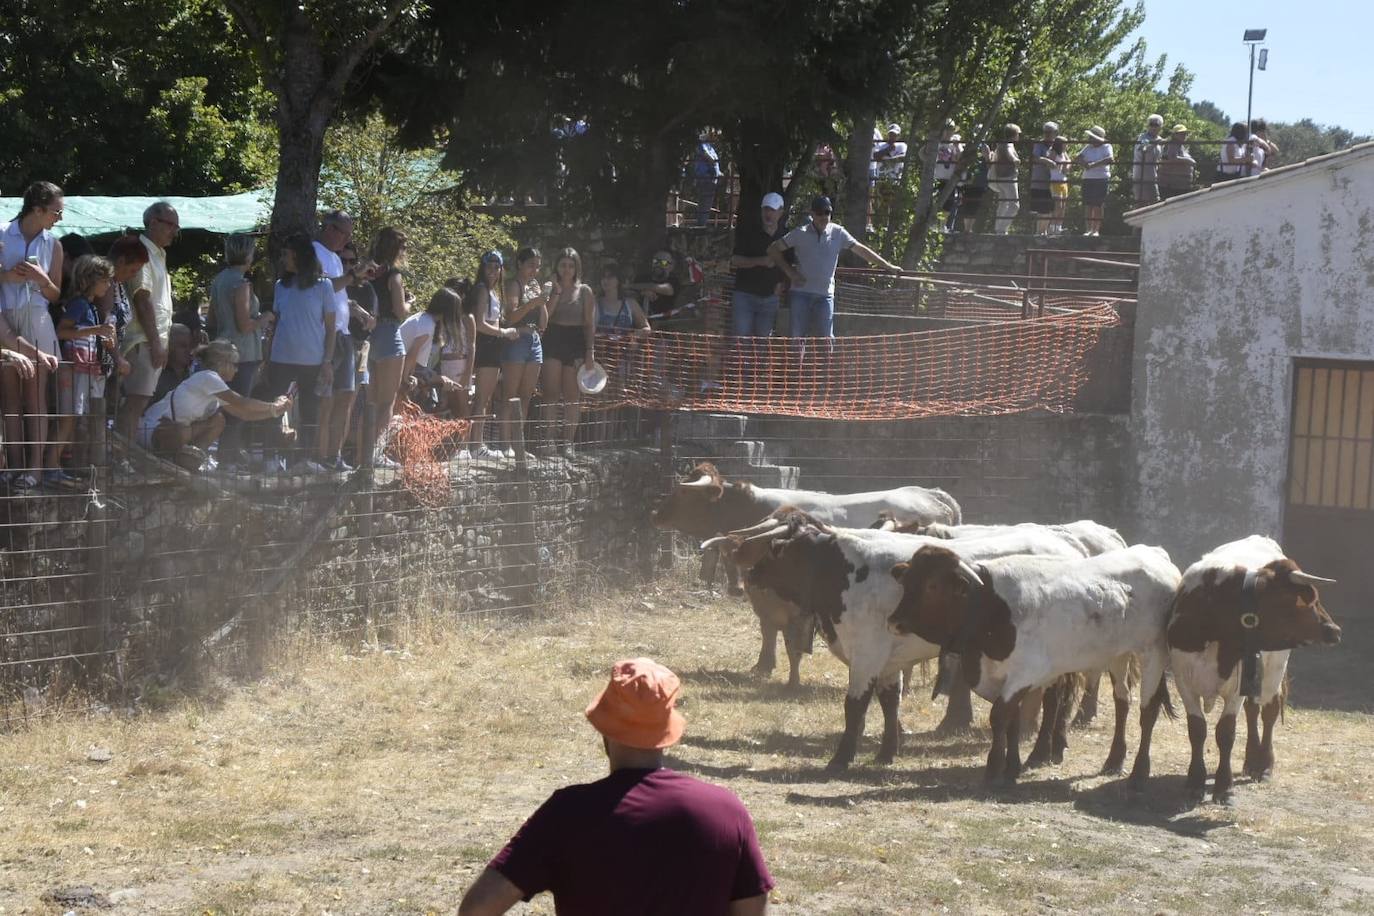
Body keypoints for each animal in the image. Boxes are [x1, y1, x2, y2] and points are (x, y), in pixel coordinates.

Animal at [651, 466, 956, 686]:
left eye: (683, 493)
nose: (656, 514)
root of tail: (933, 494)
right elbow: (767, 628)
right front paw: (763, 665)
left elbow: (781, 634)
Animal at [708, 513, 1082, 769]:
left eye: (774, 550)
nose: (752, 573)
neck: (844, 572)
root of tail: (1066, 545)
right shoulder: (889, 662)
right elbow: (890, 703)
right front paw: (887, 753)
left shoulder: (867, 656)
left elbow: (855, 707)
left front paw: (840, 760)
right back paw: (1054, 749)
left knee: (1054, 700)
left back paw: (1040, 753)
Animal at [890, 543, 1181, 791]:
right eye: (906, 581)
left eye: (932, 585)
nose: (894, 621)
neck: (990, 607)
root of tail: (1156, 556)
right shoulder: (1000, 678)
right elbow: (1013, 721)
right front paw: (1011, 768)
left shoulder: (1023, 674)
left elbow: (999, 716)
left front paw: (993, 770)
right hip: (1118, 655)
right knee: (1122, 702)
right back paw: (1114, 760)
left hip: (1152, 654)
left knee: (1148, 711)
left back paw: (1139, 773)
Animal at [1165, 532, 1346, 807]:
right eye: (1310, 600)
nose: (1334, 630)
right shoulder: (1184, 680)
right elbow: (1197, 730)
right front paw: (1195, 782)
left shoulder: (1236, 687)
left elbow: (1226, 732)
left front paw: (1224, 788)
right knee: (1252, 709)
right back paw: (1251, 761)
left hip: (1274, 669)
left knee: (1269, 710)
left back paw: (1264, 766)